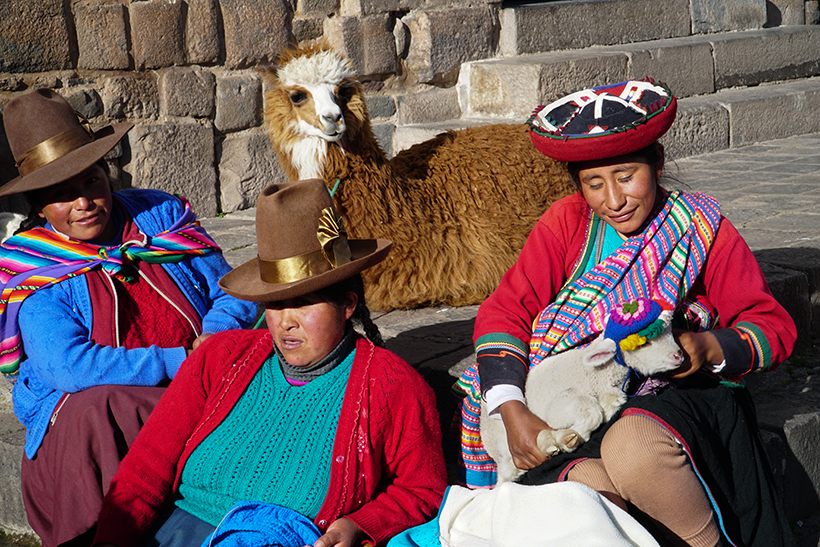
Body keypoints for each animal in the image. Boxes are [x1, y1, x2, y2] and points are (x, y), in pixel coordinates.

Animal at [484, 310, 684, 486]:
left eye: (670, 332)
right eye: (644, 343)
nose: (679, 356)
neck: (601, 373)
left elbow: (610, 403)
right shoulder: (559, 403)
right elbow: (589, 410)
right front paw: (574, 434)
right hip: (502, 438)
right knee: (512, 468)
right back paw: (555, 440)